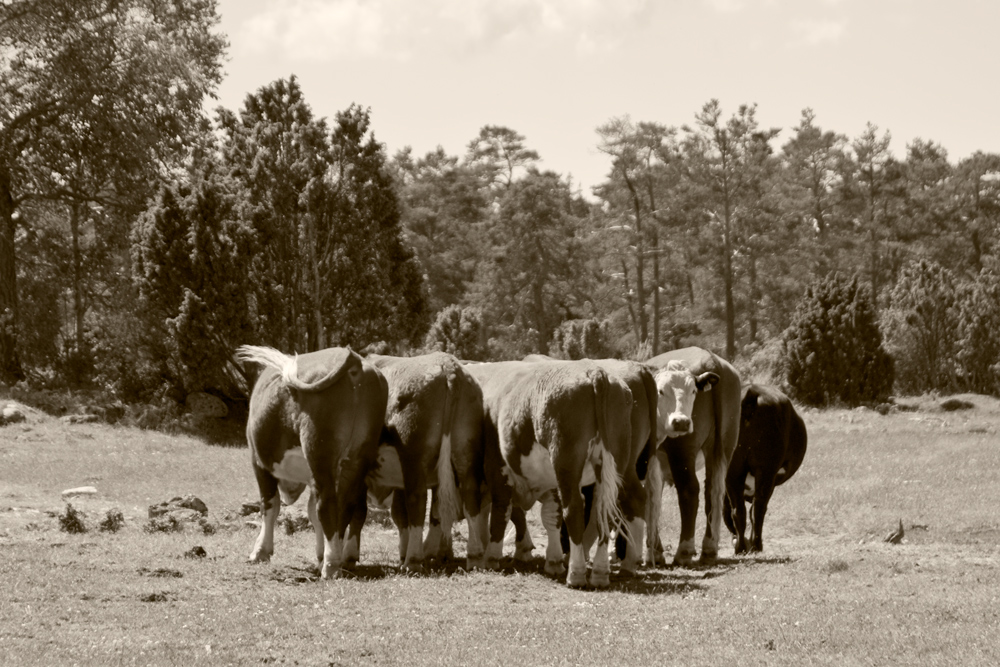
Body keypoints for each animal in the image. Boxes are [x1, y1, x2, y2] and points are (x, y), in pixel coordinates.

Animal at [236, 348, 388, 580]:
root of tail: (355, 360)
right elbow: (311, 514)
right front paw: (319, 555)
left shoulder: (259, 463)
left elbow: (270, 506)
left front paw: (260, 551)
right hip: (357, 460)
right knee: (346, 507)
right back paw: (337, 558)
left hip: (319, 455)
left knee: (327, 506)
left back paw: (331, 565)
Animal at [366, 352, 490, 572]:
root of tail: (448, 365)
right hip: (465, 455)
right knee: (469, 499)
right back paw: (474, 556)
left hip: (412, 459)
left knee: (417, 501)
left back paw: (413, 560)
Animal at [462, 360, 624, 588]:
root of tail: (593, 371)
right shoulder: (548, 481)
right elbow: (548, 516)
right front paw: (553, 560)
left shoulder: (497, 469)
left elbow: (501, 512)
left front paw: (492, 556)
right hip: (613, 465)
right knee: (605, 514)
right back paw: (600, 573)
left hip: (566, 465)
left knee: (574, 510)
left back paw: (576, 573)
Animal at [644, 348, 740, 568]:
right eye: (661, 391)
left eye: (693, 391)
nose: (681, 421)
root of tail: (712, 360)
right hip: (723, 446)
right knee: (713, 491)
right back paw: (709, 549)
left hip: (682, 452)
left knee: (689, 490)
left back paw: (684, 551)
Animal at [724, 384, 808, 556]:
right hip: (765, 472)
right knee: (758, 509)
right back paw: (755, 545)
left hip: (734, 471)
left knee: (739, 511)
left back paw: (741, 547)